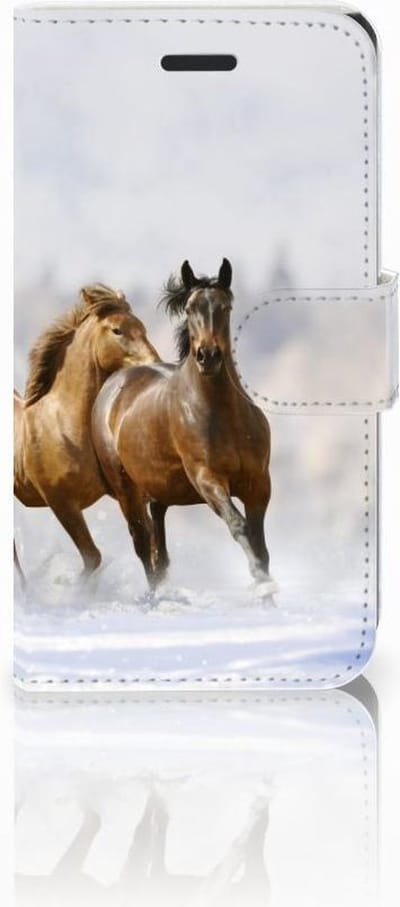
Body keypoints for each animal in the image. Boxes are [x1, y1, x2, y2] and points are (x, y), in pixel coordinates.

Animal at [14, 284, 160, 578]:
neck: (64, 426)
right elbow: (92, 557)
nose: (154, 362)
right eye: (117, 330)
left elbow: (146, 543)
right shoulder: (62, 502)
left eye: (142, 327)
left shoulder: (125, 492)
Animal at [92, 259, 273, 593]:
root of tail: (113, 385)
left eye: (226, 307)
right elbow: (238, 526)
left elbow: (260, 544)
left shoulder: (258, 484)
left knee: (159, 551)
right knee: (143, 545)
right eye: (189, 309)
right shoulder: (208, 479)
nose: (208, 356)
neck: (224, 416)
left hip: (158, 492)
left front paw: (267, 592)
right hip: (126, 490)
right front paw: (262, 584)